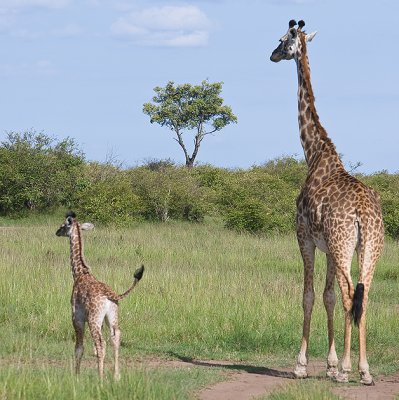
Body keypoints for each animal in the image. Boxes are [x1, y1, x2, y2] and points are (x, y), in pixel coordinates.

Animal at [55, 211, 144, 380]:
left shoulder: (77, 316)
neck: (79, 273)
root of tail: (112, 296)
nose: (56, 232)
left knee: (101, 343)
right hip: (112, 316)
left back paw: (101, 378)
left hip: (93, 319)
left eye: (63, 226)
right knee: (115, 337)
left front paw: (76, 375)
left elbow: (79, 347)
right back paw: (116, 376)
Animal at [270, 19, 386, 384]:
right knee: (364, 294)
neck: (315, 153)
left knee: (352, 295)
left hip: (343, 243)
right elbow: (329, 296)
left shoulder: (304, 236)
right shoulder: (329, 248)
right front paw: (332, 363)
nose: (272, 55)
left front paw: (303, 365)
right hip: (368, 246)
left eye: (283, 40)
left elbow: (309, 296)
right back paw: (364, 370)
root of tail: (363, 214)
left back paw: (350, 370)